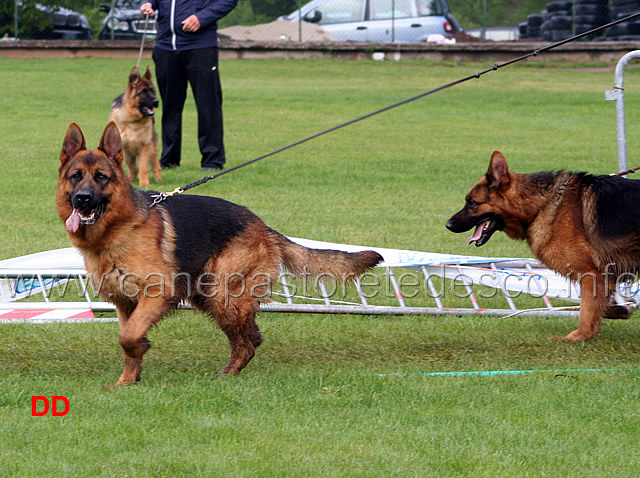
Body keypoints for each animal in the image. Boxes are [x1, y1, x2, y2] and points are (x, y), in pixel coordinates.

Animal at [57, 122, 382, 384]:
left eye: (101, 177)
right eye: (75, 176)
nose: (82, 199)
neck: (120, 230)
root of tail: (263, 226)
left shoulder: (157, 293)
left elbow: (129, 337)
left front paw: (139, 351)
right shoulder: (124, 303)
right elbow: (127, 340)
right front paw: (127, 380)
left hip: (221, 294)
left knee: (247, 343)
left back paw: (226, 376)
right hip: (209, 295)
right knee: (252, 336)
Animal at [448, 151, 636, 342]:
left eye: (472, 202)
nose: (448, 225)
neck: (541, 204)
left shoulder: (592, 274)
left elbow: (587, 311)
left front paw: (577, 337)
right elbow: (594, 305)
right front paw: (618, 311)